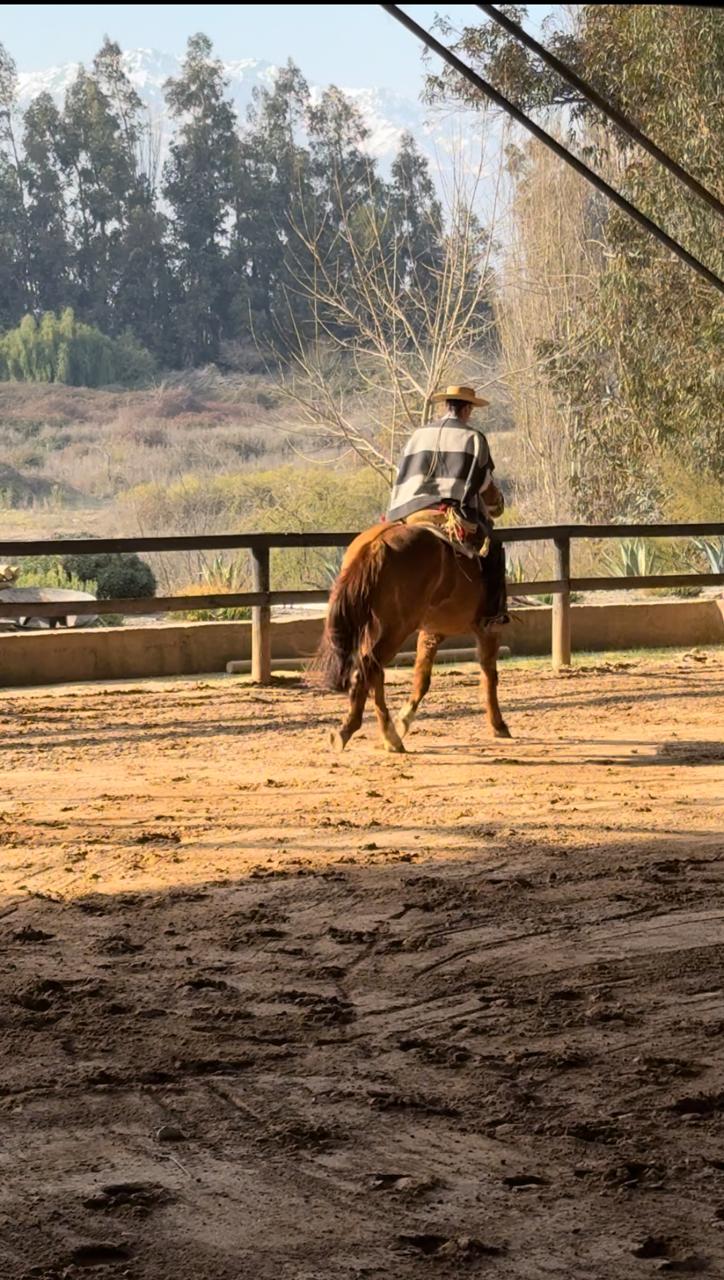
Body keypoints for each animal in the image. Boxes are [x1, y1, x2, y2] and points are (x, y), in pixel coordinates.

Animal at [315, 522, 511, 747]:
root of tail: (377, 543)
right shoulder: (488, 630)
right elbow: (490, 675)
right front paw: (498, 725)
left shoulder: (431, 632)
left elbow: (422, 678)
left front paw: (404, 720)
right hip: (397, 629)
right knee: (368, 668)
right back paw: (349, 730)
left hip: (376, 629)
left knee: (375, 671)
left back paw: (389, 736)